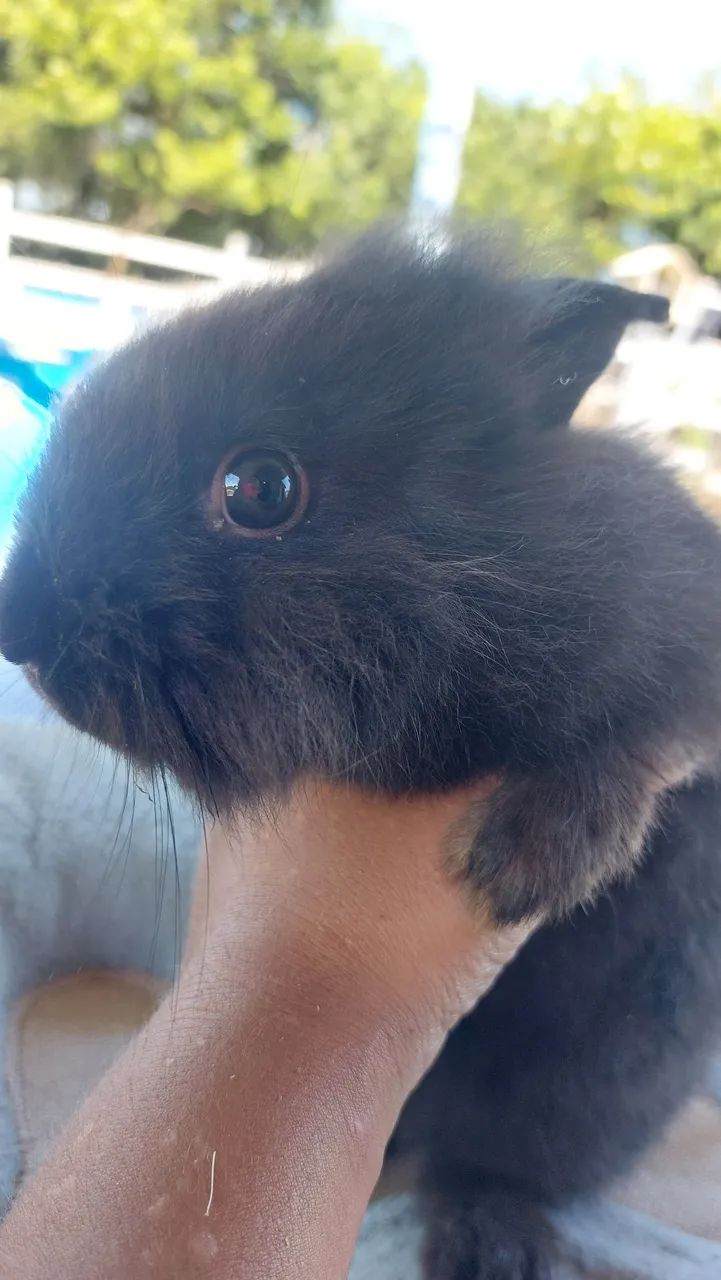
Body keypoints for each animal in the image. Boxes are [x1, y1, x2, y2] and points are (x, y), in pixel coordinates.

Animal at [3, 226, 721, 1279]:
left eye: (260, 490)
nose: (19, 626)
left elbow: (639, 739)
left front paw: (529, 860)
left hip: (583, 1089)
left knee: (490, 1165)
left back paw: (491, 1245)